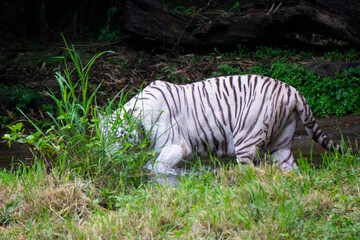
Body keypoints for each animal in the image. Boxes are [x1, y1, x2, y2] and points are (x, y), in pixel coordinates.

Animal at [100, 74, 340, 173]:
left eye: (117, 137)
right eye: (102, 138)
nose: (108, 158)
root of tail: (292, 91)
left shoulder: (177, 147)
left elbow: (155, 166)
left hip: (247, 138)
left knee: (250, 171)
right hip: (281, 144)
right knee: (290, 168)